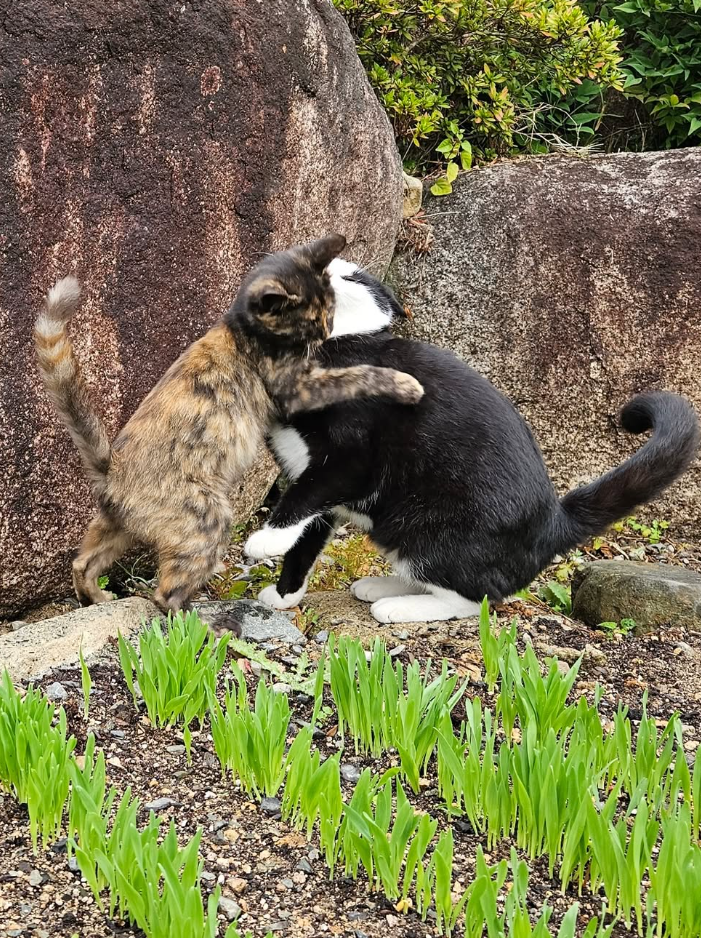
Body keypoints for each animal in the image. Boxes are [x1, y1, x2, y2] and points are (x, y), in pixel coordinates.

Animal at [35, 234, 422, 616]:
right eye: (312, 320)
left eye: (330, 310)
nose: (326, 331)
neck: (242, 328)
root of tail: (112, 469)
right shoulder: (296, 391)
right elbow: (355, 376)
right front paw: (405, 384)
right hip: (209, 519)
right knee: (166, 596)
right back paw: (204, 622)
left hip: (114, 528)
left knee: (82, 564)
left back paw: (97, 599)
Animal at [243, 260, 696, 620]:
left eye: (351, 274)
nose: (322, 268)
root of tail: (555, 519)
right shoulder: (308, 473)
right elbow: (307, 536)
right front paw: (285, 594)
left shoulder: (349, 462)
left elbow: (305, 496)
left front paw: (264, 540)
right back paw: (384, 585)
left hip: (428, 525)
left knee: (474, 599)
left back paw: (397, 606)